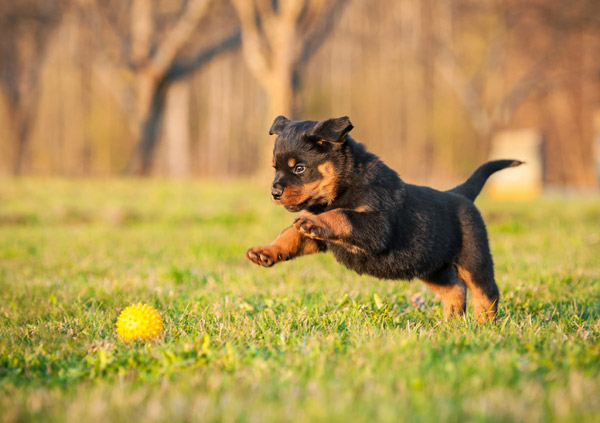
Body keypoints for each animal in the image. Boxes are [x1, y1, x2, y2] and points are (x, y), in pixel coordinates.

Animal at [246, 116, 524, 322]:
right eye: (275, 168)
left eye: (299, 168)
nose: (274, 192)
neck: (344, 185)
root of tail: (460, 193)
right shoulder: (318, 238)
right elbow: (290, 235)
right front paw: (265, 251)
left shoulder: (376, 227)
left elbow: (341, 214)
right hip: (431, 265)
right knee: (455, 288)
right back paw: (451, 323)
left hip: (473, 259)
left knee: (485, 292)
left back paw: (483, 325)